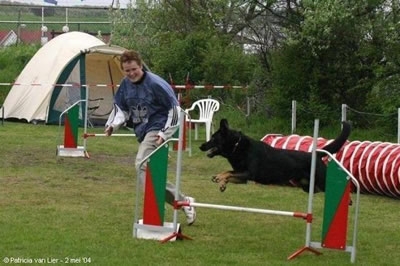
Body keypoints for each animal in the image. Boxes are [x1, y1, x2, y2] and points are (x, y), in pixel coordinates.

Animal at [200, 119, 350, 192]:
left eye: (213, 138)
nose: (201, 146)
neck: (237, 146)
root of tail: (317, 153)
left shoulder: (249, 173)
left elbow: (229, 172)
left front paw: (220, 178)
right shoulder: (243, 177)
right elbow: (229, 173)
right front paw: (221, 181)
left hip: (322, 181)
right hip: (308, 187)